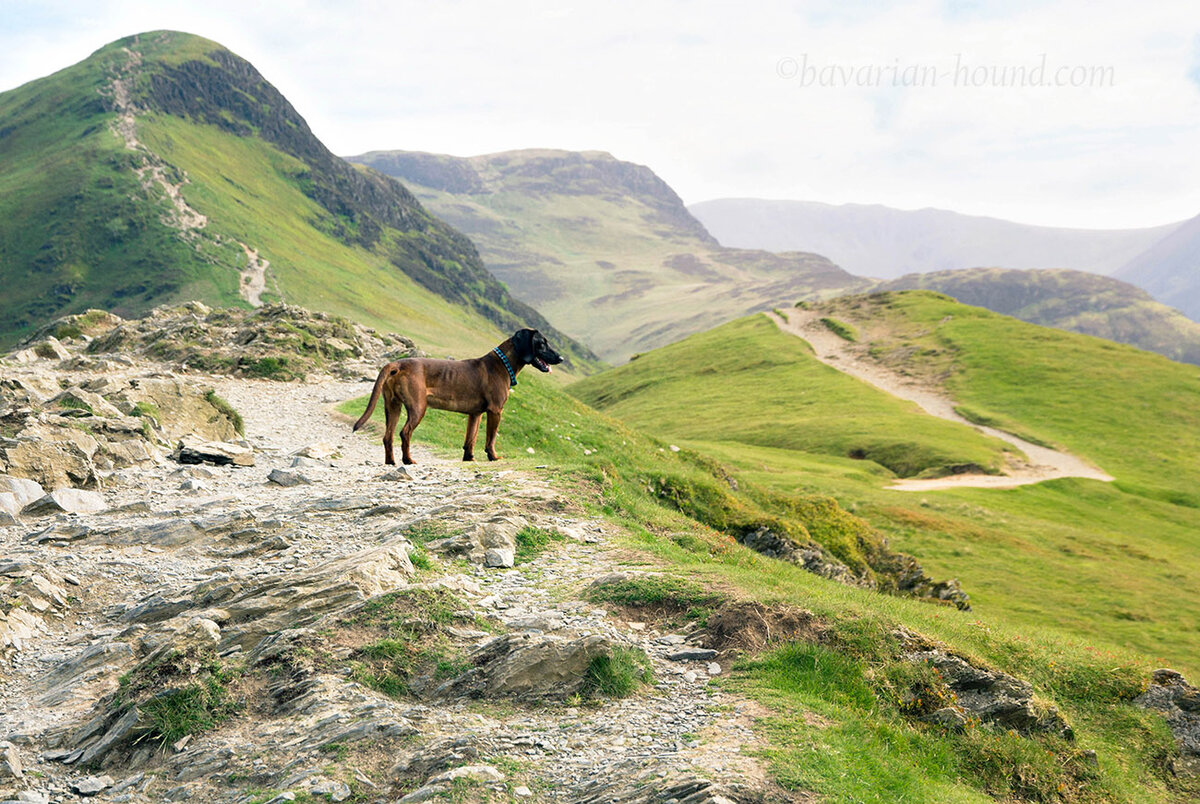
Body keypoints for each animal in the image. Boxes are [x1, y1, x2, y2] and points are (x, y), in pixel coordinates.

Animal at [352, 328, 564, 465]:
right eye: (541, 344)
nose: (561, 358)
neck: (503, 364)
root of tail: (397, 364)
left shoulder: (475, 414)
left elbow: (470, 439)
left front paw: (469, 458)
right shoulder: (495, 411)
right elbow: (490, 438)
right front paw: (493, 456)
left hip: (392, 407)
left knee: (387, 436)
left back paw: (391, 461)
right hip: (418, 407)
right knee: (405, 433)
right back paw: (408, 460)